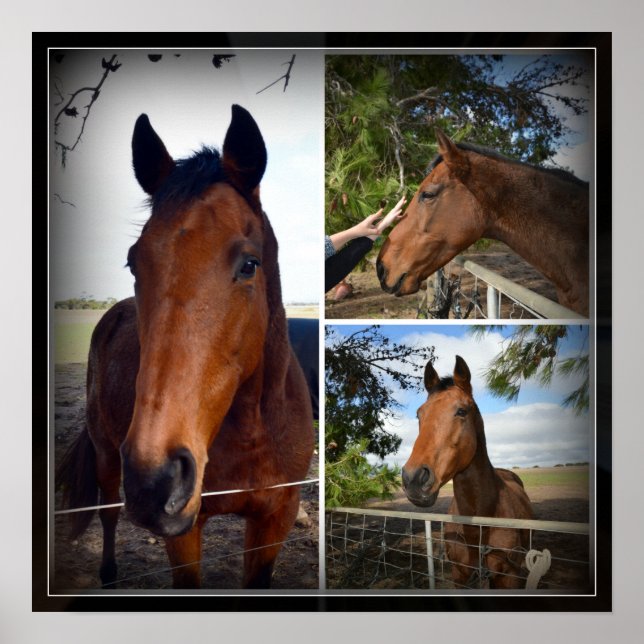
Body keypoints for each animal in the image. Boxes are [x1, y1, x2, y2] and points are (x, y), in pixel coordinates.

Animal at [56, 105, 315, 589]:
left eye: (249, 264)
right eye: (133, 263)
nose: (155, 480)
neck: (251, 430)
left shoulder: (275, 518)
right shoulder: (184, 531)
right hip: (107, 455)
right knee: (108, 514)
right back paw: (108, 574)